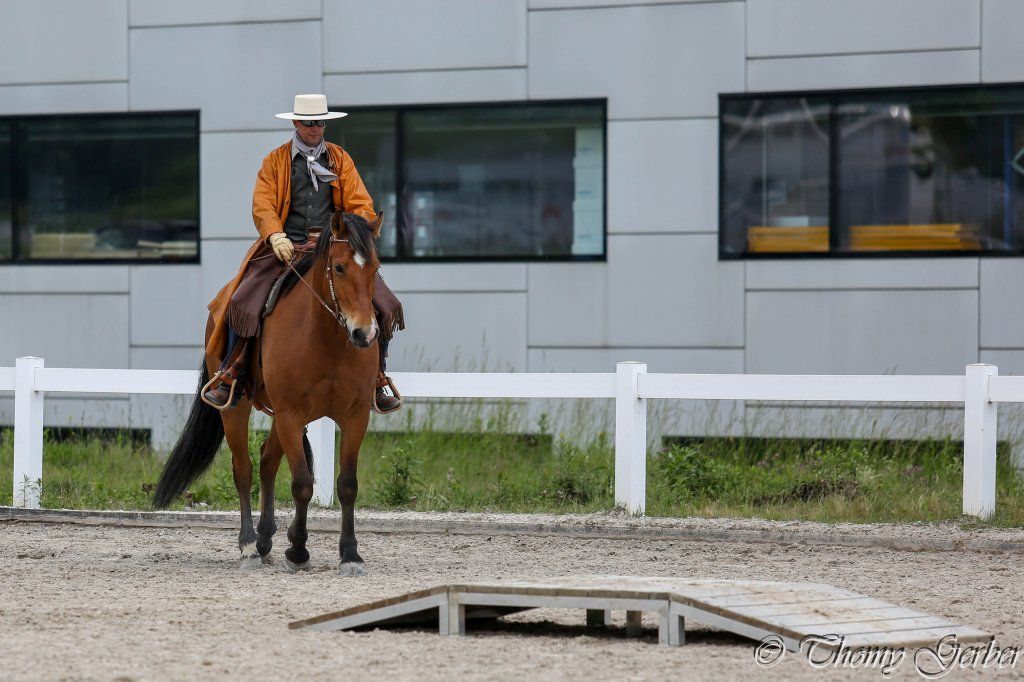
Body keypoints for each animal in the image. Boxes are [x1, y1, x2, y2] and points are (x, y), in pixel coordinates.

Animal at [153, 210, 383, 575]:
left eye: (375, 268)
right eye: (339, 267)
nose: (364, 333)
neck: (327, 338)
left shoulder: (355, 416)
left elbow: (347, 485)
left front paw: (350, 555)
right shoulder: (290, 414)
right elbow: (302, 483)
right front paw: (298, 551)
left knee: (266, 462)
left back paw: (264, 539)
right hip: (237, 408)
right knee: (244, 469)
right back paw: (249, 545)